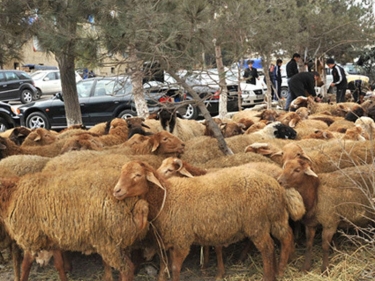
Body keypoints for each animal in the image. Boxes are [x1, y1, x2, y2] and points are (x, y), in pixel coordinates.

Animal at [114, 160, 302, 280]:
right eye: (121, 173)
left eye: (137, 175)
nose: (116, 191)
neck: (167, 198)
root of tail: (274, 183)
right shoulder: (168, 241)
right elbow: (163, 268)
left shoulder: (182, 240)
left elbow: (175, 268)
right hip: (276, 217)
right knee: (287, 237)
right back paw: (281, 270)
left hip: (257, 223)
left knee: (267, 248)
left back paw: (269, 275)